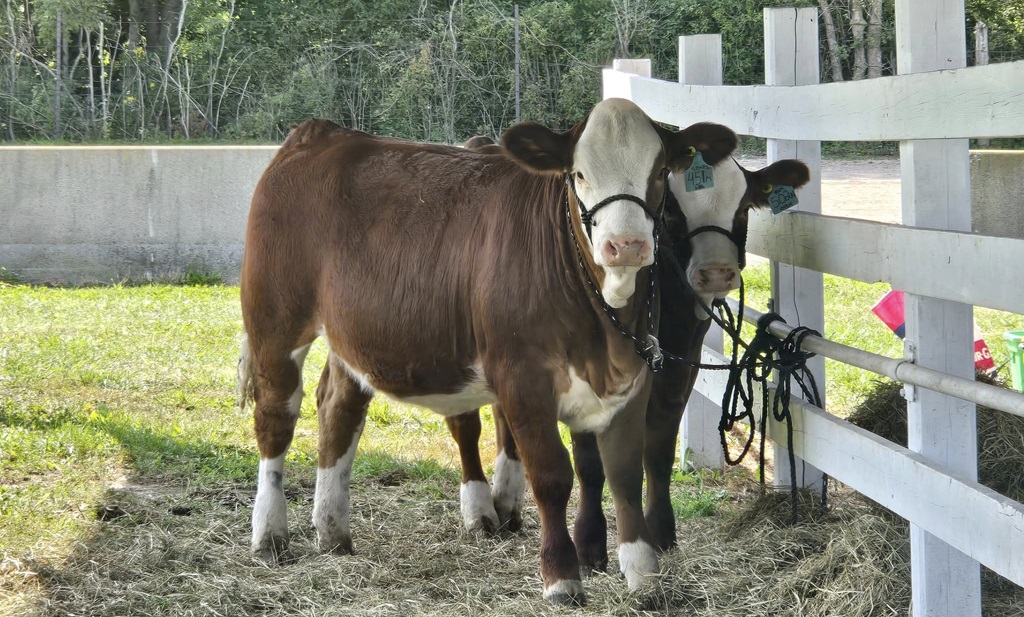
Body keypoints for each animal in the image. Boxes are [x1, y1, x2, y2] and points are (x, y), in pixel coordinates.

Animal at [236, 98, 740, 604]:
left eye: (660, 172)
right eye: (578, 174)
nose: (627, 245)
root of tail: (321, 133)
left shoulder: (634, 373)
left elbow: (624, 474)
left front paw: (643, 574)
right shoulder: (521, 378)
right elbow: (552, 475)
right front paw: (561, 576)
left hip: (353, 335)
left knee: (338, 406)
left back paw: (332, 527)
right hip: (275, 319)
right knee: (276, 417)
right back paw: (270, 533)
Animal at [444, 149, 811, 571]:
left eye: (744, 208)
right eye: (671, 214)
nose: (717, 272)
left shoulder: (678, 374)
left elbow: (657, 453)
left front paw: (661, 530)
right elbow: (589, 463)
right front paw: (589, 542)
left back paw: (507, 496)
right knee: (466, 423)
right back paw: (479, 508)